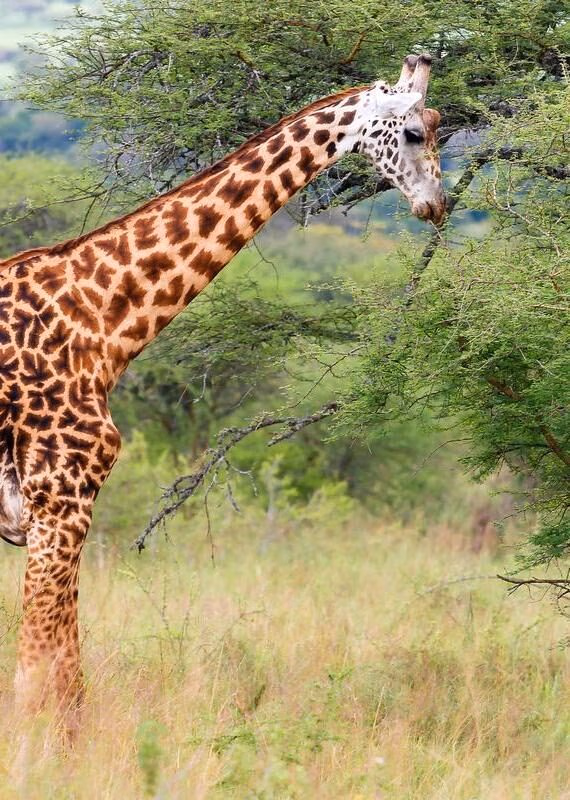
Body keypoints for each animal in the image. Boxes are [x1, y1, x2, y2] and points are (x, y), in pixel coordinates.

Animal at [0, 53, 445, 738]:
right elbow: (44, 675)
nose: (438, 205)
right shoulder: (60, 495)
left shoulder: (45, 511)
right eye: (417, 132)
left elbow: (59, 671)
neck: (102, 320)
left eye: (441, 124)